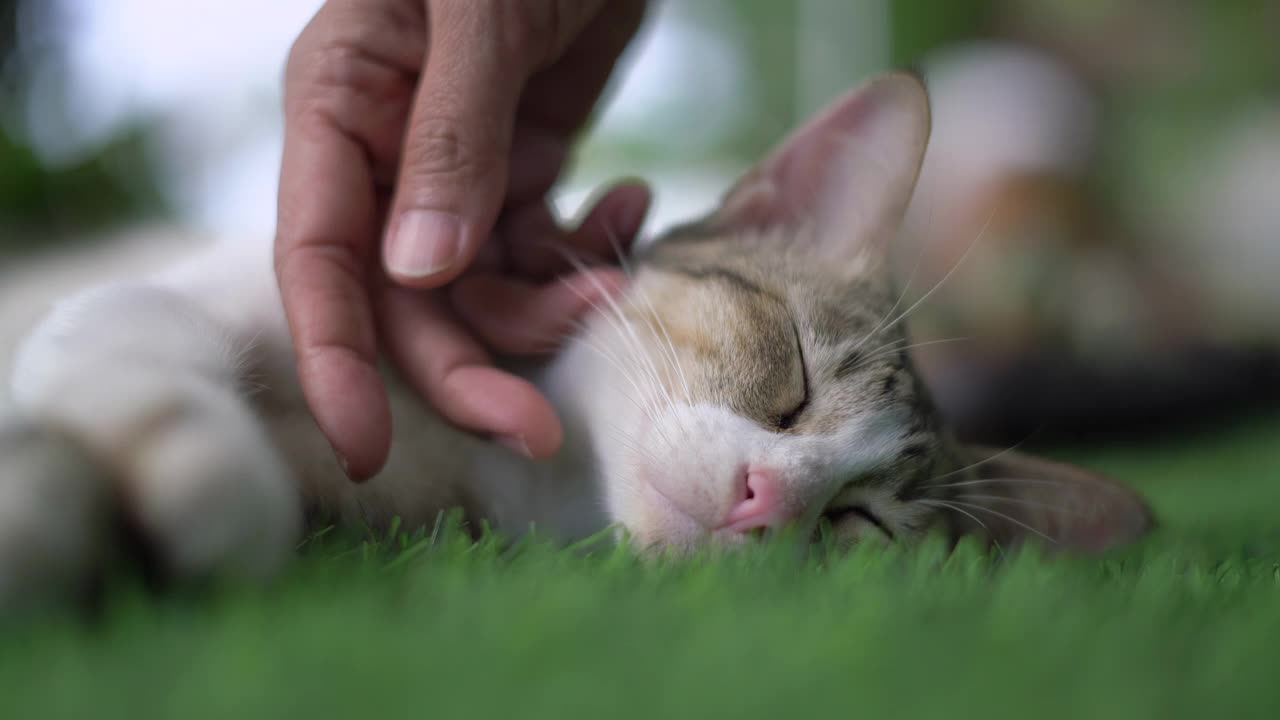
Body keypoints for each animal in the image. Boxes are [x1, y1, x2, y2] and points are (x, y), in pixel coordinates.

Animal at [0, 73, 1157, 602]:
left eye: (858, 524)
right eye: (790, 376)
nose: (767, 500)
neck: (520, 465)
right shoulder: (238, 293)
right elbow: (131, 326)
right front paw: (175, 464)